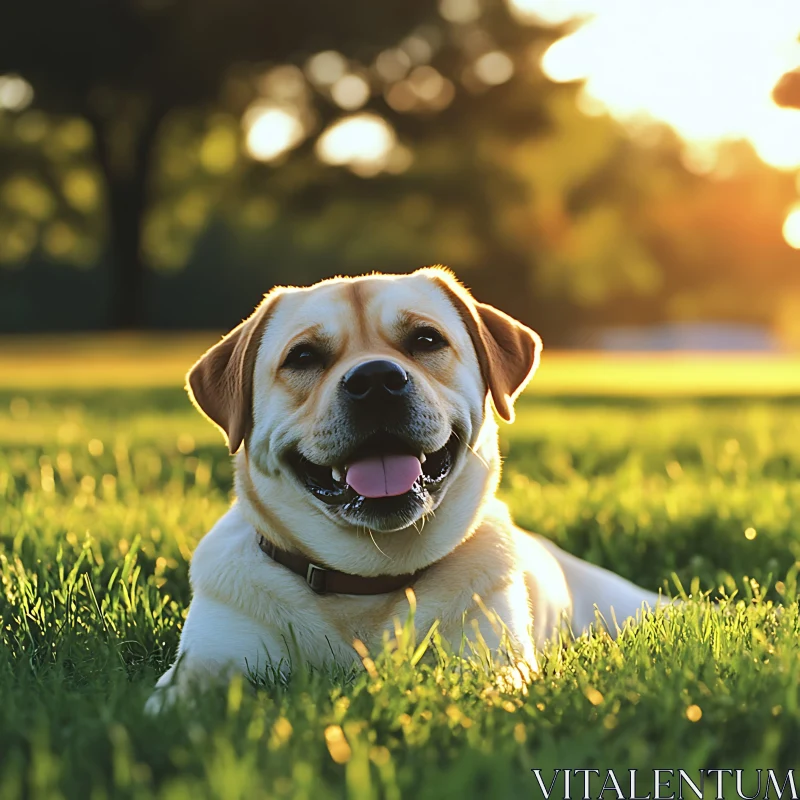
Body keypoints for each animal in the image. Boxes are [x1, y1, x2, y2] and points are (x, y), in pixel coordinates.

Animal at [145, 270, 664, 712]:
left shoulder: (493, 661)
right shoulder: (211, 658)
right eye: (303, 356)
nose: (375, 379)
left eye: (426, 339)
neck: (366, 583)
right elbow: (177, 701)